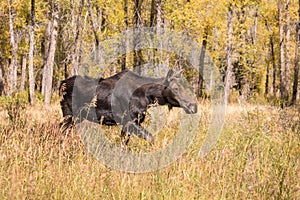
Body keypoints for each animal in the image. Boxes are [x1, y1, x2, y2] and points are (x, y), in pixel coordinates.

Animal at [59, 69, 198, 145]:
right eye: (175, 88)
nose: (194, 106)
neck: (148, 96)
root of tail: (61, 84)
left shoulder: (127, 124)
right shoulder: (129, 121)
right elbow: (151, 138)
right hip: (69, 114)